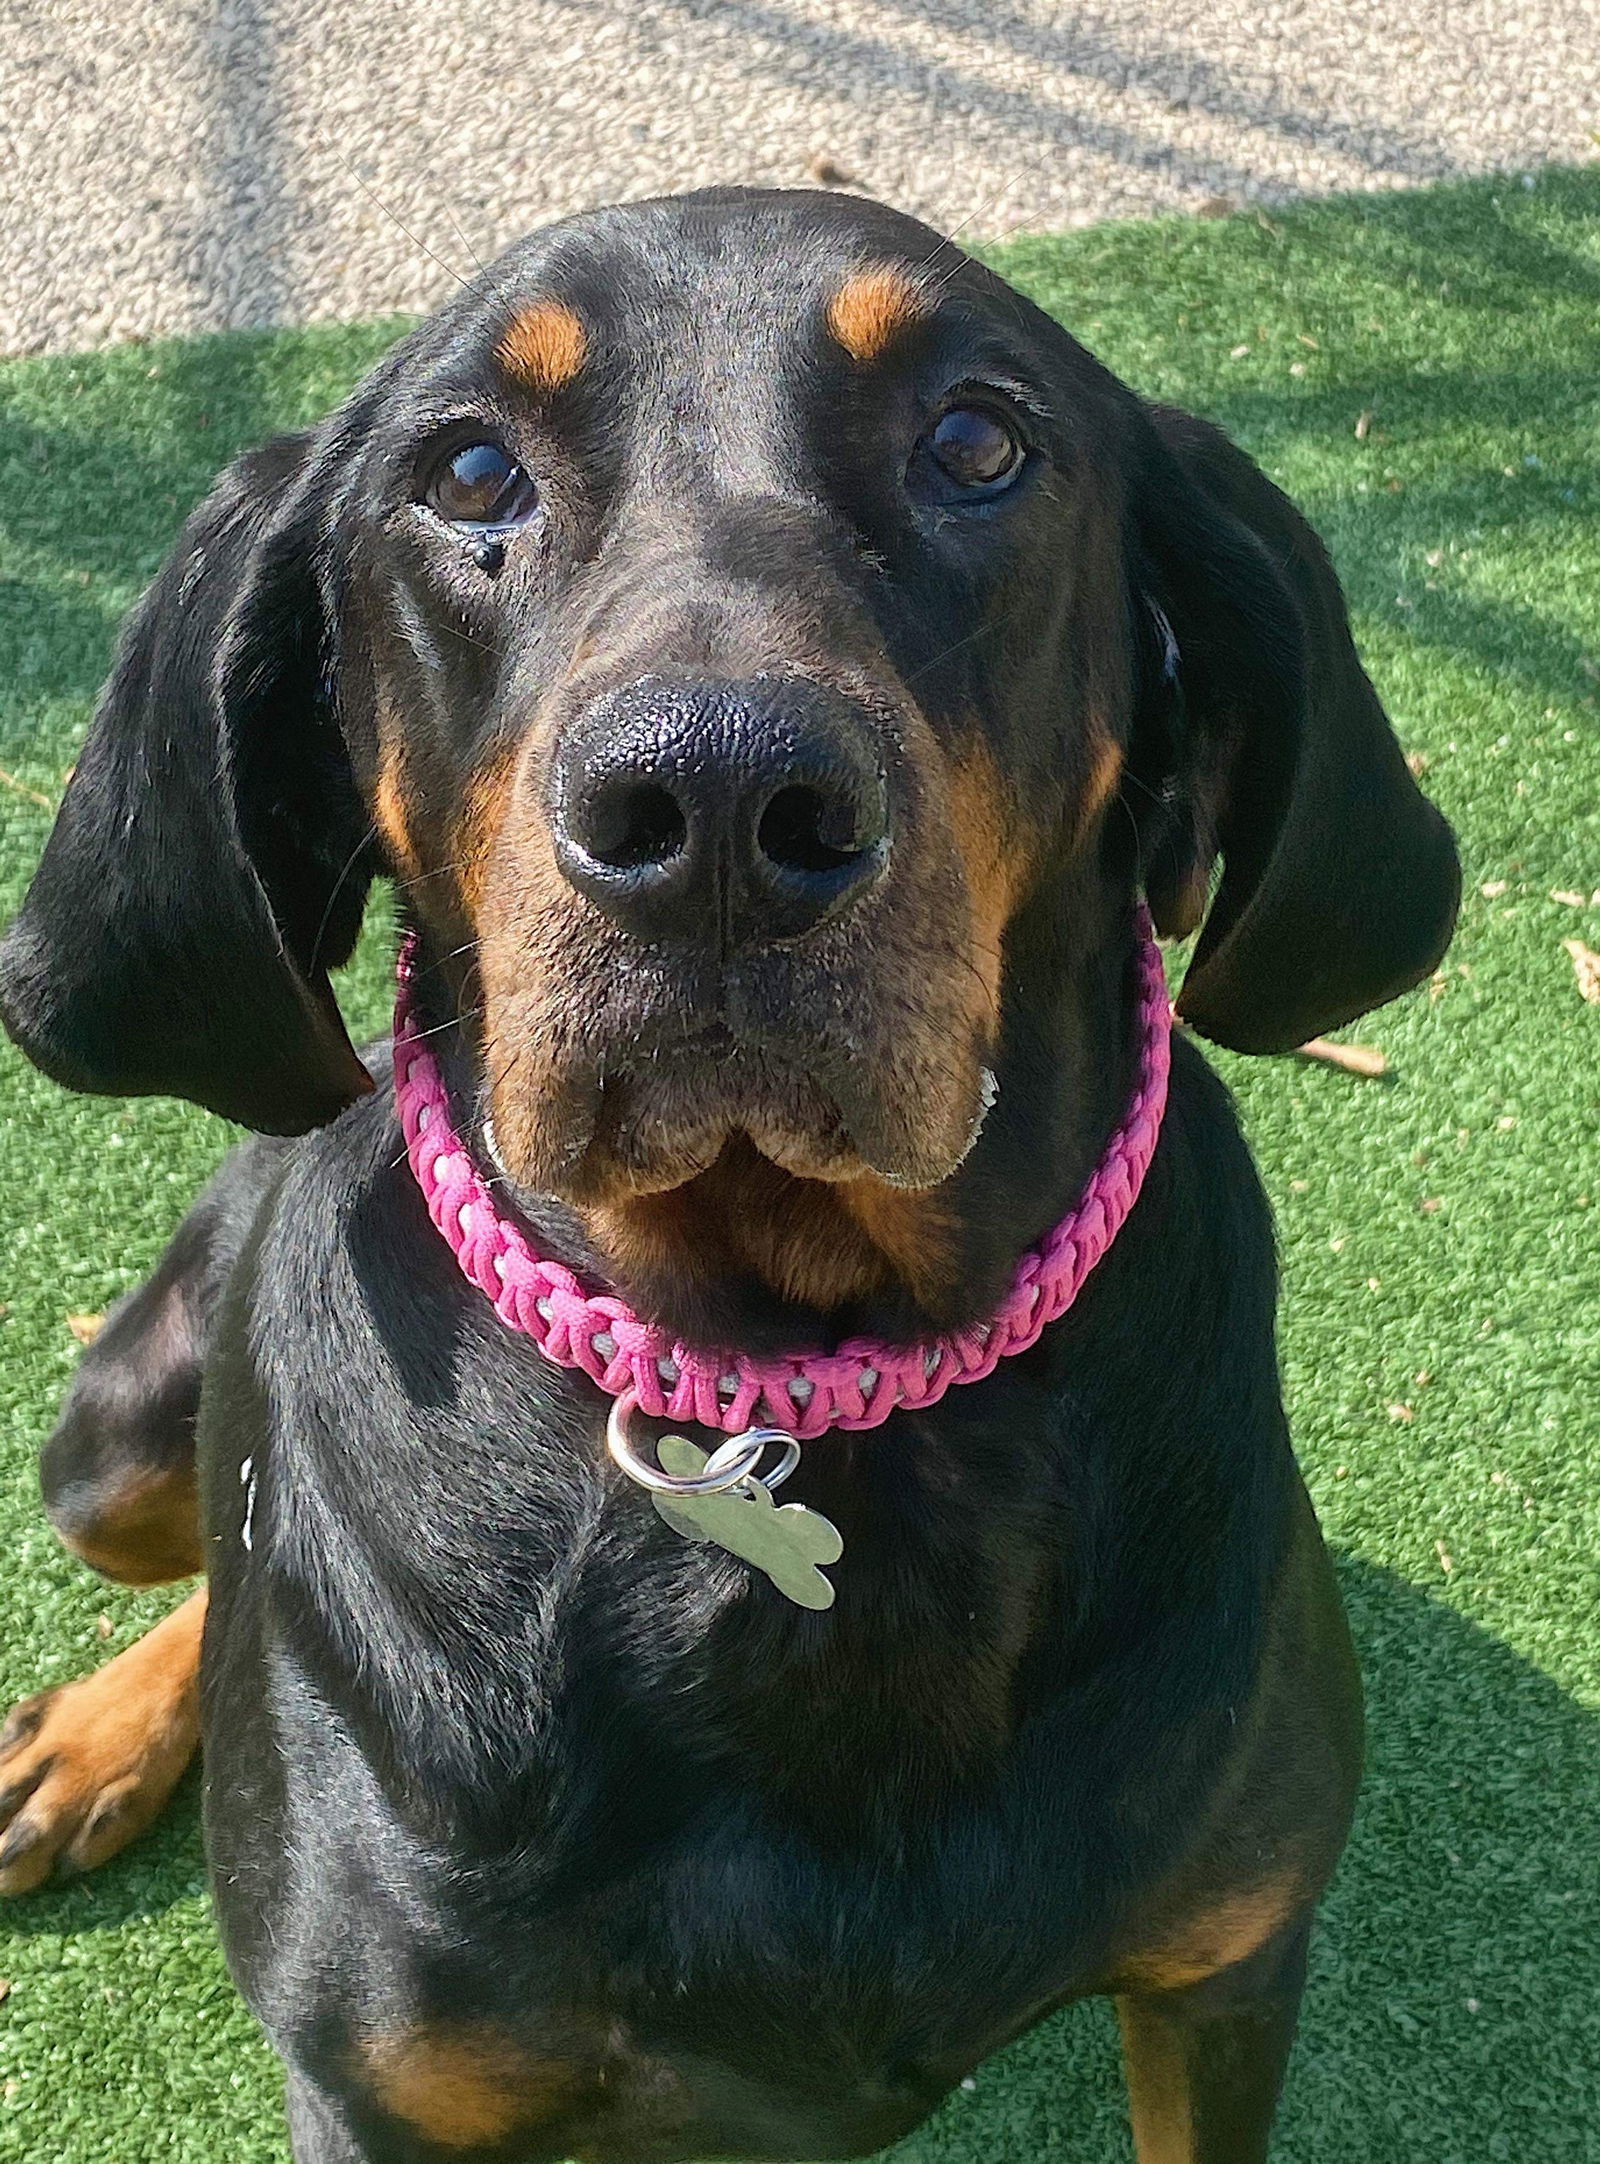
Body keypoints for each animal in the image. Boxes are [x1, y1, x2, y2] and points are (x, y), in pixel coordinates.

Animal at [0, 190, 1454, 2164]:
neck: (790, 1365)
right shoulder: (384, 2090)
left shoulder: (1225, 1965)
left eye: (978, 441)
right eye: (467, 470)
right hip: (105, 1447)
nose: (715, 813)